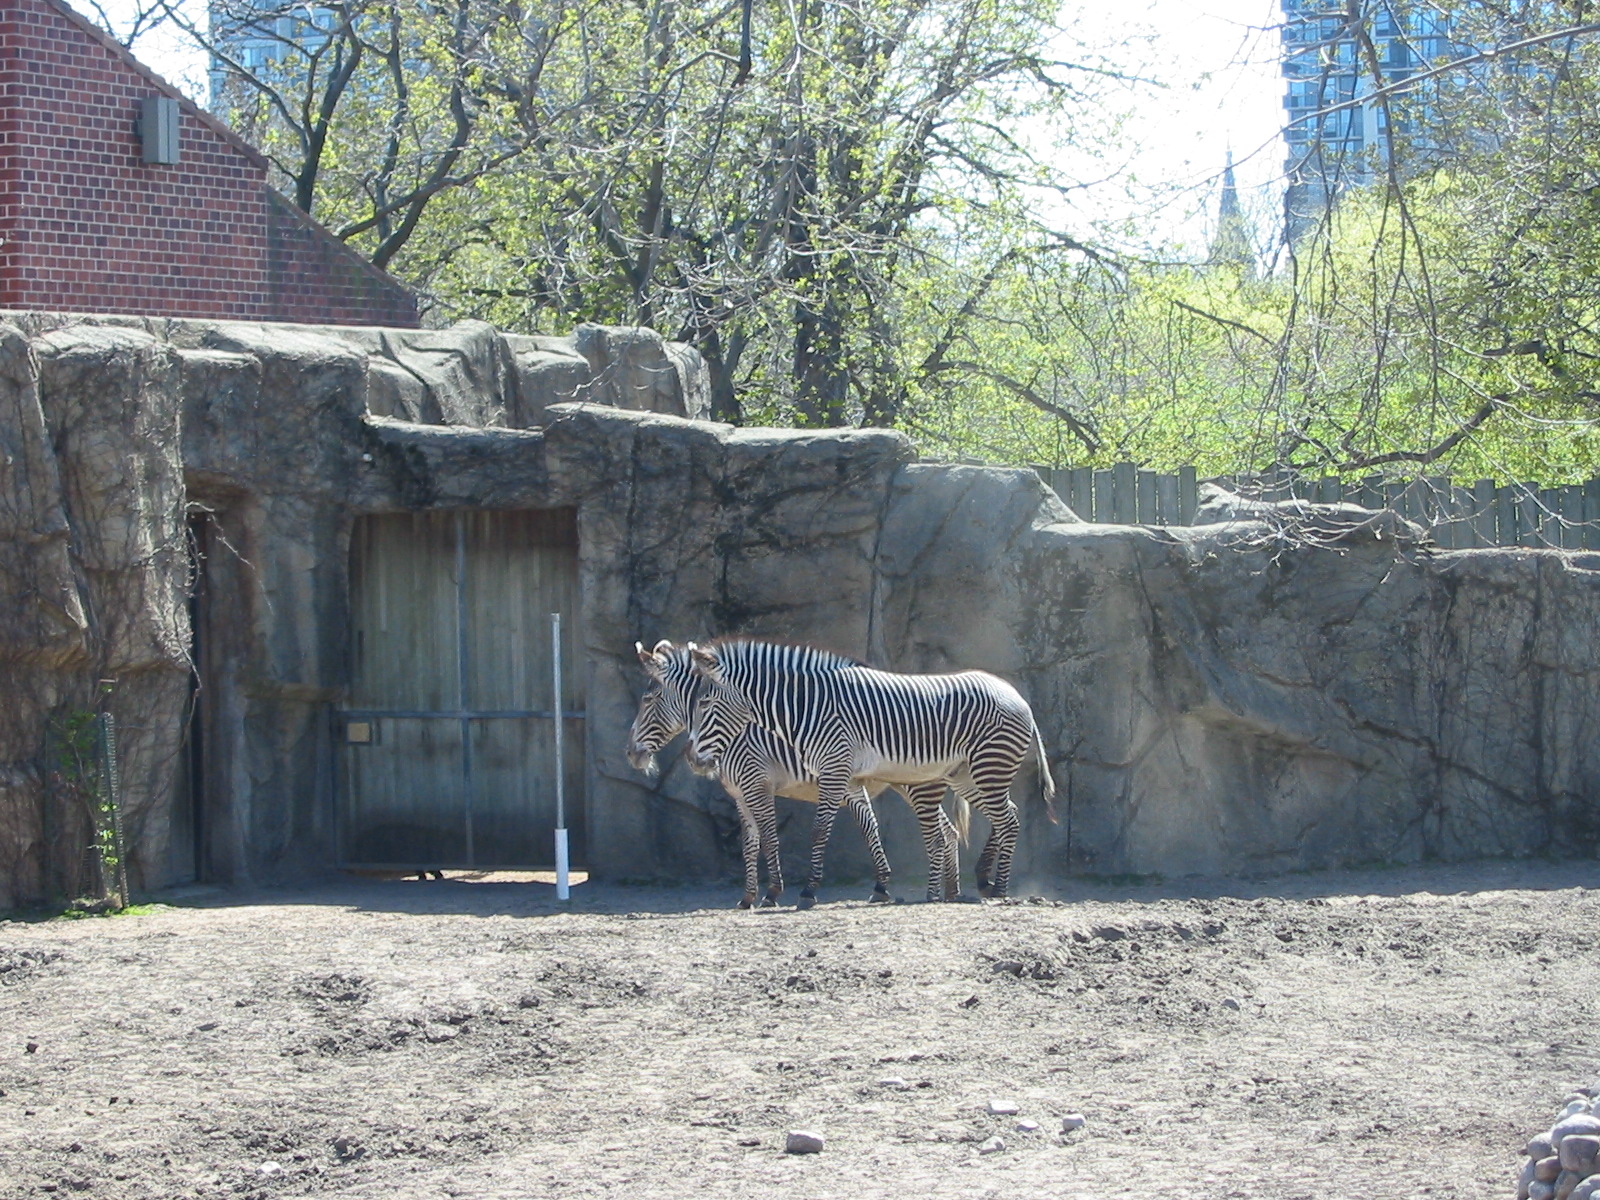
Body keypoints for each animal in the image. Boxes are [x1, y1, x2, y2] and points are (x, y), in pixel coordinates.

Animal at [627, 640, 965, 907]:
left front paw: (773, 893)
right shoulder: (739, 793)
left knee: (939, 833)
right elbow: (749, 842)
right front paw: (747, 897)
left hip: (917, 784)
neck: (735, 731)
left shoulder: (757, 783)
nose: (630, 754)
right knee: (949, 831)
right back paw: (950, 892)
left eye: (648, 699)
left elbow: (769, 836)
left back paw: (936, 892)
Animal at [686, 638, 1055, 904]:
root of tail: (1018, 698)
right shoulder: (841, 775)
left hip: (989, 767)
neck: (807, 708)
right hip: (968, 775)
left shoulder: (832, 770)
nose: (692, 760)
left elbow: (819, 830)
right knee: (1007, 815)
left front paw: (807, 892)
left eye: (704, 703)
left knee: (1008, 821)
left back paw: (1000, 890)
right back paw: (980, 882)